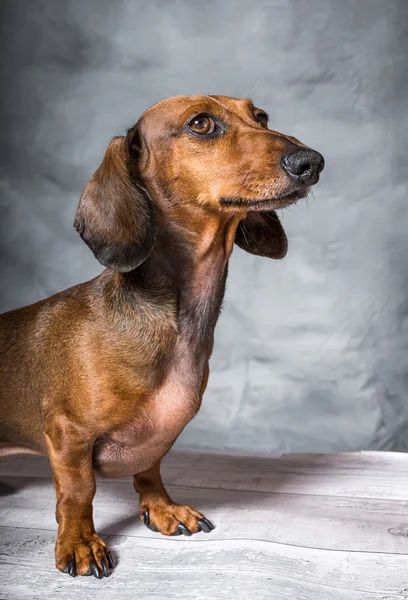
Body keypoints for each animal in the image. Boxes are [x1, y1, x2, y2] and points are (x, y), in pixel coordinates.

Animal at [0, 96, 326, 580]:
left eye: (261, 117)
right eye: (201, 123)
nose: (312, 162)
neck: (177, 321)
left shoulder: (159, 436)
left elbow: (151, 469)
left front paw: (162, 509)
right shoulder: (67, 433)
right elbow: (78, 491)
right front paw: (79, 541)